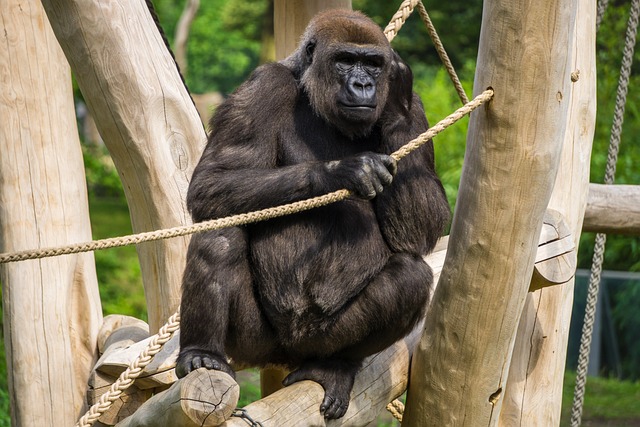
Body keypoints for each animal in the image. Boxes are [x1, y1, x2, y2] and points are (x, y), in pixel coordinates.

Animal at [175, 9, 450, 422]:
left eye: (374, 63)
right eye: (345, 60)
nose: (364, 84)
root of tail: (288, 355)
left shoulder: (416, 109)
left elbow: (421, 226)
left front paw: (395, 100)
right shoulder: (262, 85)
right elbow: (213, 181)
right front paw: (340, 171)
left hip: (318, 340)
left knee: (412, 278)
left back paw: (334, 366)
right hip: (255, 344)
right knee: (220, 232)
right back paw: (201, 352)